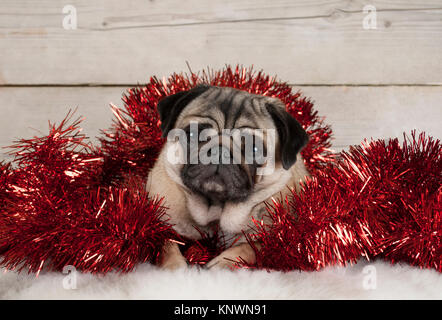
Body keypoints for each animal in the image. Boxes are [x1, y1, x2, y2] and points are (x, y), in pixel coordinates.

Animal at [147, 85, 310, 270]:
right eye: (192, 135)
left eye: (254, 149)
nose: (220, 151)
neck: (216, 210)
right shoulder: (160, 226)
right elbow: (166, 245)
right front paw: (174, 267)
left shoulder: (278, 241)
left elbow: (252, 246)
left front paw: (224, 261)